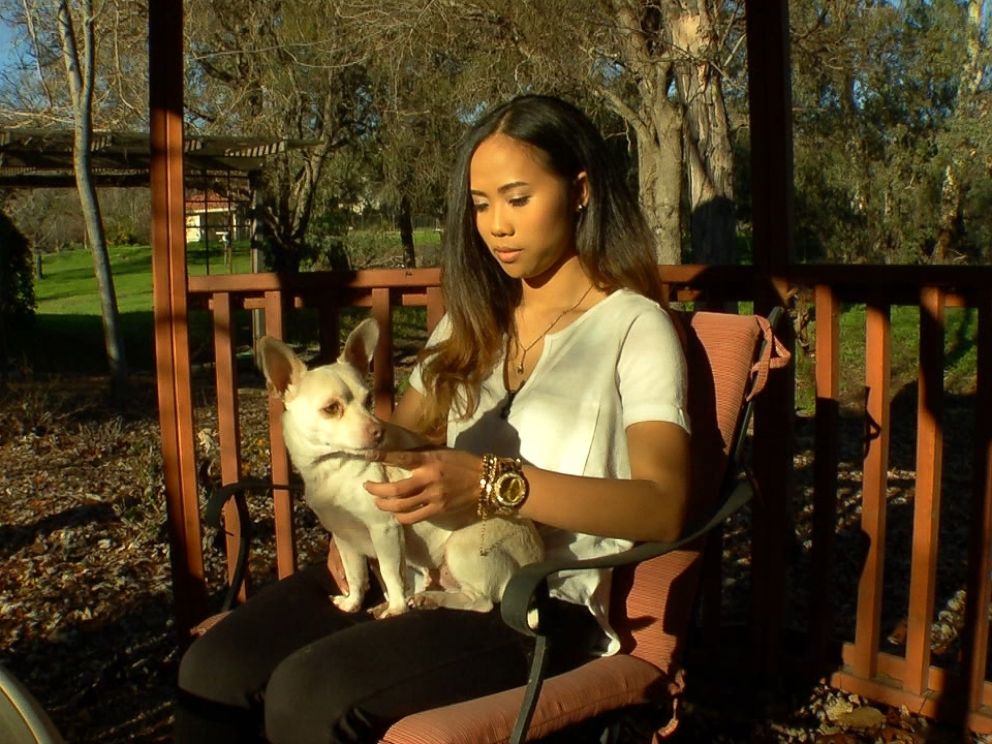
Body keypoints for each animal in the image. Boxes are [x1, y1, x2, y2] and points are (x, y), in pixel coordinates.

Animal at [256, 318, 544, 616]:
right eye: (331, 408)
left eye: (368, 400)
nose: (378, 430)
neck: (333, 466)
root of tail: (535, 558)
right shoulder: (346, 538)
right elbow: (356, 575)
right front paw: (352, 603)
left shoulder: (386, 530)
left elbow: (390, 573)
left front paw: (396, 609)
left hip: (461, 548)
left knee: (482, 601)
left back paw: (430, 599)